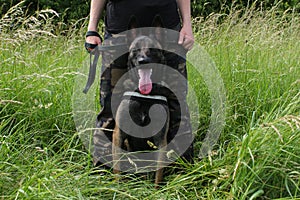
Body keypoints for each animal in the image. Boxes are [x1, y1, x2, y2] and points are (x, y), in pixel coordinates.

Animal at [112, 15, 170, 188]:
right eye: (135, 50)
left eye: (151, 49)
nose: (143, 61)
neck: (145, 94)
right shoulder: (119, 134)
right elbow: (117, 170)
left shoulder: (161, 140)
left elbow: (158, 174)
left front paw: (158, 191)